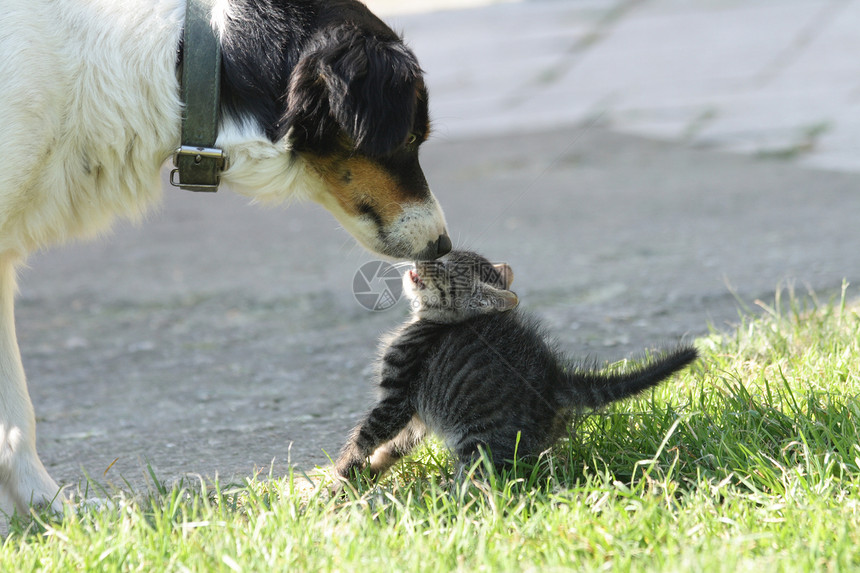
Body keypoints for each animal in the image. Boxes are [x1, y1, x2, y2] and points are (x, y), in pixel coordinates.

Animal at [336, 250, 700, 478]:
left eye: (445, 268)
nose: (424, 255)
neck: (429, 322)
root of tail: (555, 377)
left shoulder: (398, 398)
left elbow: (367, 435)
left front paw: (341, 471)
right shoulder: (417, 417)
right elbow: (393, 447)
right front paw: (367, 474)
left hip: (478, 446)